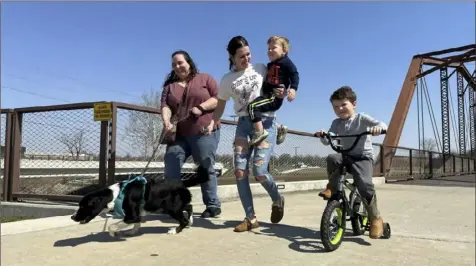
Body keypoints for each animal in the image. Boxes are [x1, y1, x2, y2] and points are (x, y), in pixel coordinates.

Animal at [70, 166, 208, 237]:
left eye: (83, 207)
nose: (72, 217)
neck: (115, 194)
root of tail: (182, 183)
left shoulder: (132, 216)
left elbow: (113, 225)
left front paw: (113, 232)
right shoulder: (137, 213)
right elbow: (137, 222)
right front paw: (132, 231)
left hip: (170, 207)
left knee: (183, 218)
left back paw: (175, 230)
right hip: (170, 205)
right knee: (189, 206)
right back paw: (191, 221)